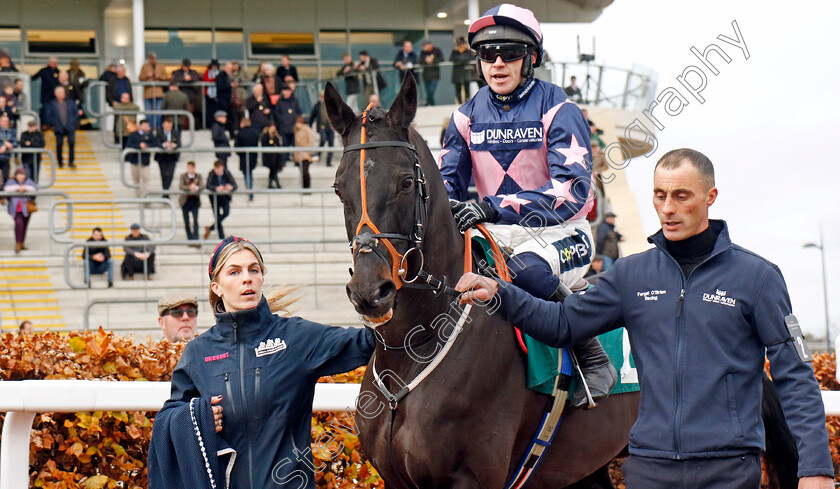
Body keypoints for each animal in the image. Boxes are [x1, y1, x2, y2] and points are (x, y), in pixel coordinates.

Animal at [324, 74, 640, 486]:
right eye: (338, 187)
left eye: (406, 182)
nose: (368, 292)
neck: (411, 352)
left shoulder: (473, 476)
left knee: (532, 266)